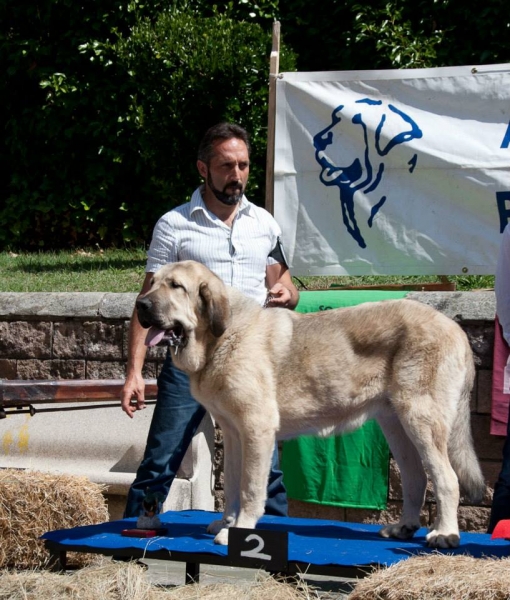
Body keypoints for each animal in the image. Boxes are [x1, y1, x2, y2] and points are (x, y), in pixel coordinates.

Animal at [136, 260, 486, 548]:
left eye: (176, 286)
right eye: (153, 282)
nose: (141, 304)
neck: (218, 339)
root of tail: (455, 328)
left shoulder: (256, 428)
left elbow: (250, 487)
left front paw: (239, 529)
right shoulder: (234, 433)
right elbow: (233, 483)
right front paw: (227, 522)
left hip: (421, 420)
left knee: (446, 478)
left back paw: (445, 534)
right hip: (396, 425)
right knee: (417, 478)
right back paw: (404, 527)